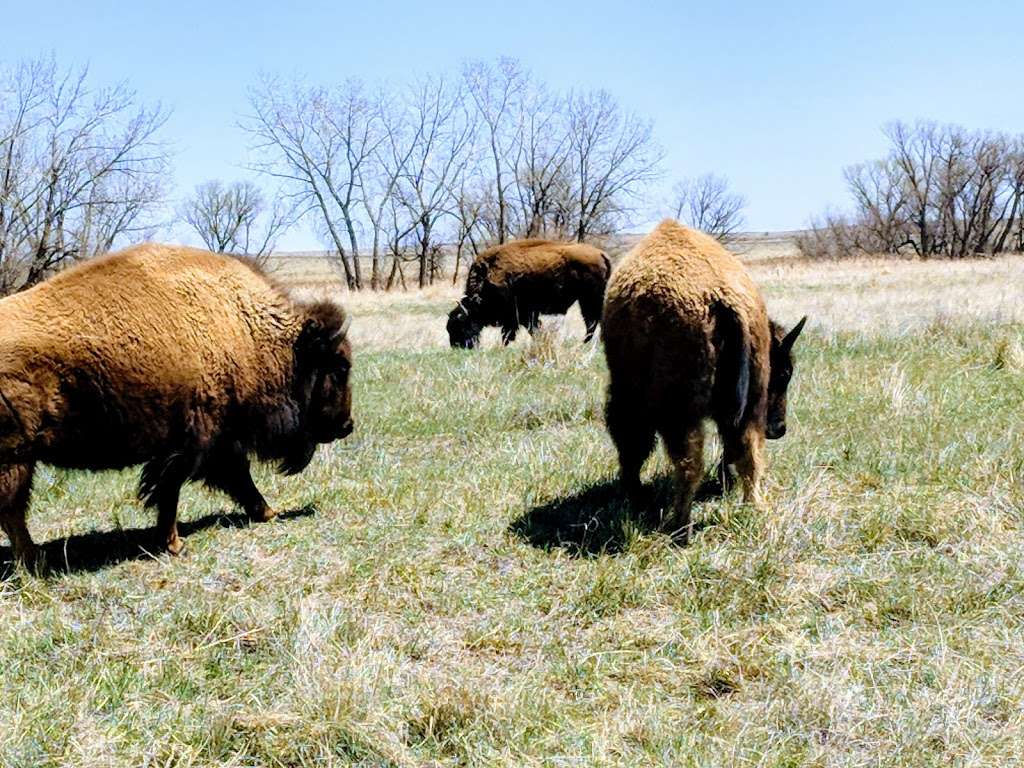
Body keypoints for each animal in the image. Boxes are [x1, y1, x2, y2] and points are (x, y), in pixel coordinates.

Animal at [0, 243, 354, 569]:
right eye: (340, 366)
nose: (347, 425)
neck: (243, 325)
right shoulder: (190, 444)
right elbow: (172, 492)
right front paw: (173, 544)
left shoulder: (219, 441)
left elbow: (238, 479)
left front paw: (268, 512)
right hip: (17, 460)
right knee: (13, 512)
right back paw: (35, 562)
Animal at [446, 239, 606, 350]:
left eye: (460, 326)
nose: (457, 347)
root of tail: (601, 253)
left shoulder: (520, 314)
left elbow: (518, 332)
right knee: (593, 322)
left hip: (588, 300)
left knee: (591, 322)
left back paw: (584, 343)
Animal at [598, 219, 806, 544]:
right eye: (782, 373)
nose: (779, 429)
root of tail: (720, 298)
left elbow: (632, 445)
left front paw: (633, 494)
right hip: (750, 405)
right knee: (749, 454)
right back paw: (753, 508)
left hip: (680, 413)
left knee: (688, 463)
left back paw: (679, 527)